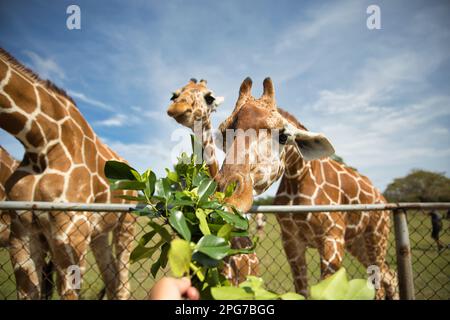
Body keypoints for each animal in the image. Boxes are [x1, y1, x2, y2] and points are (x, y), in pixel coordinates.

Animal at [0, 48, 135, 300]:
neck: (40, 142)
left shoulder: (70, 235)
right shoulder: (22, 235)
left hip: (126, 225)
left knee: (122, 285)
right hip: (99, 235)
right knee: (112, 281)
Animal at [218, 77, 398, 300]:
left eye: (283, 136)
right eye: (224, 133)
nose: (229, 196)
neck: (298, 178)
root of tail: (381, 196)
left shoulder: (332, 238)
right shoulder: (291, 241)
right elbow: (301, 291)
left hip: (377, 235)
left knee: (380, 283)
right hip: (357, 242)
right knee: (390, 276)